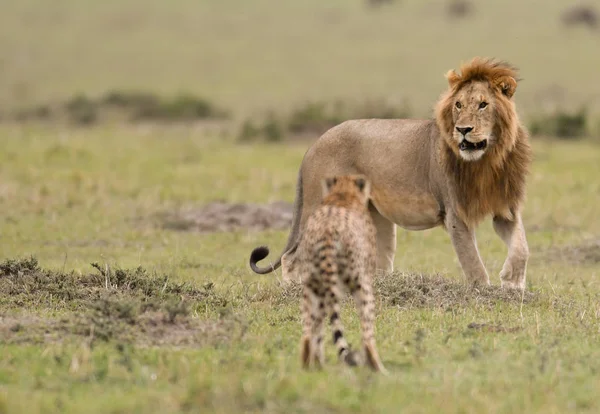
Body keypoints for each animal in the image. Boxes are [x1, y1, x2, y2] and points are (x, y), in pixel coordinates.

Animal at [251, 58, 532, 290]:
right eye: (458, 105)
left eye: (483, 105)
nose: (463, 130)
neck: (488, 160)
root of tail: (314, 145)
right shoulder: (455, 213)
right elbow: (473, 264)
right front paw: (484, 293)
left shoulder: (505, 207)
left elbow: (522, 247)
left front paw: (512, 283)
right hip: (325, 207)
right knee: (291, 256)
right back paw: (296, 289)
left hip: (375, 214)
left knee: (379, 263)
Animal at [298, 173, 386, 374]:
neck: (342, 194)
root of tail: (327, 232)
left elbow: (318, 329)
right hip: (360, 284)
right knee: (367, 336)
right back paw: (379, 369)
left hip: (313, 285)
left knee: (309, 331)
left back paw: (310, 369)